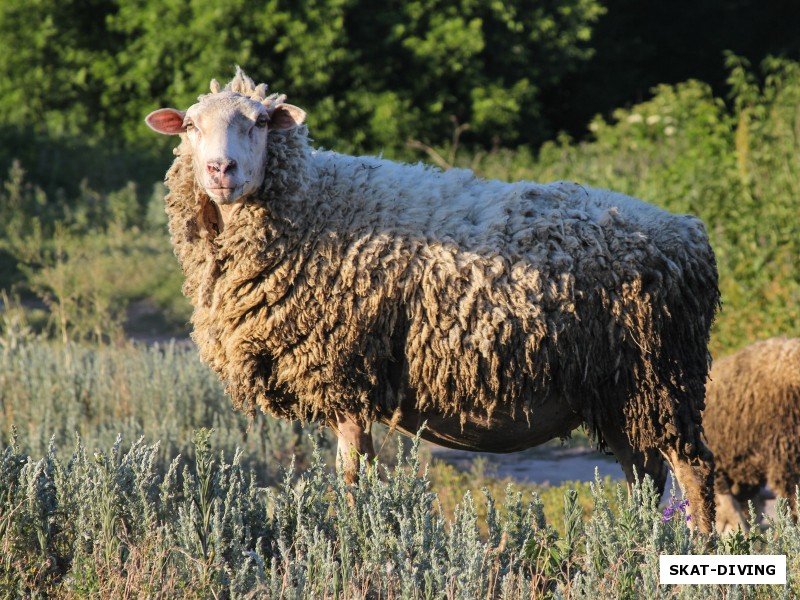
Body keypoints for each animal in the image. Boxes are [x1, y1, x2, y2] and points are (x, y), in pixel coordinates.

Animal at [145, 68, 724, 532]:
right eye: (191, 126)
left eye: (262, 123)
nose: (221, 170)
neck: (313, 204)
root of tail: (691, 235)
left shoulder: (346, 372)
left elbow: (354, 478)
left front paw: (356, 540)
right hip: (624, 390)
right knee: (645, 479)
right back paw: (641, 544)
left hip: (663, 376)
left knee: (695, 472)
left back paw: (694, 549)